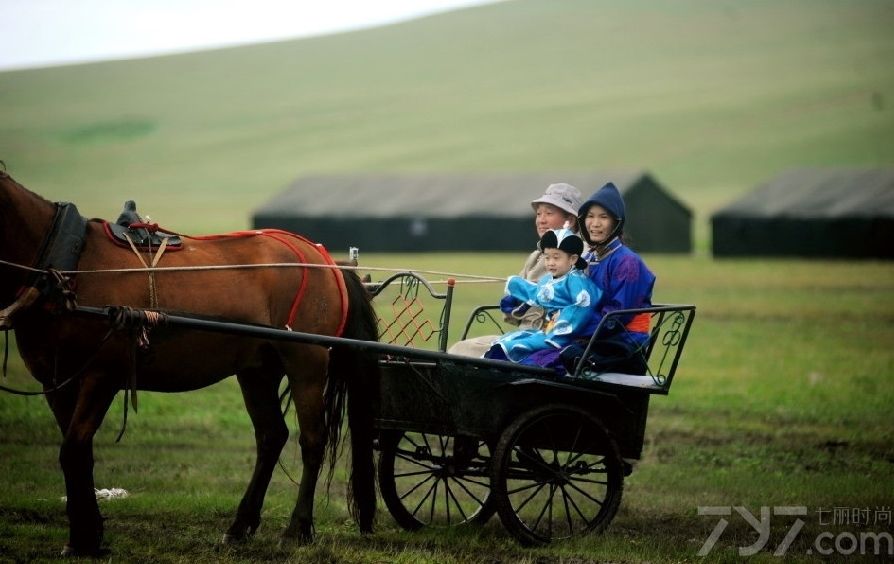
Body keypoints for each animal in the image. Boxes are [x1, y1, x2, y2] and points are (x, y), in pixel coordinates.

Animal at [0, 167, 380, 556]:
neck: (67, 266)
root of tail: (326, 261)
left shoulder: (101, 374)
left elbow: (74, 449)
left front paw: (83, 537)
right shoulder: (57, 381)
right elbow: (77, 452)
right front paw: (86, 534)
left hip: (306, 362)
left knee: (312, 440)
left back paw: (298, 528)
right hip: (257, 370)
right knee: (271, 435)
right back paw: (240, 525)